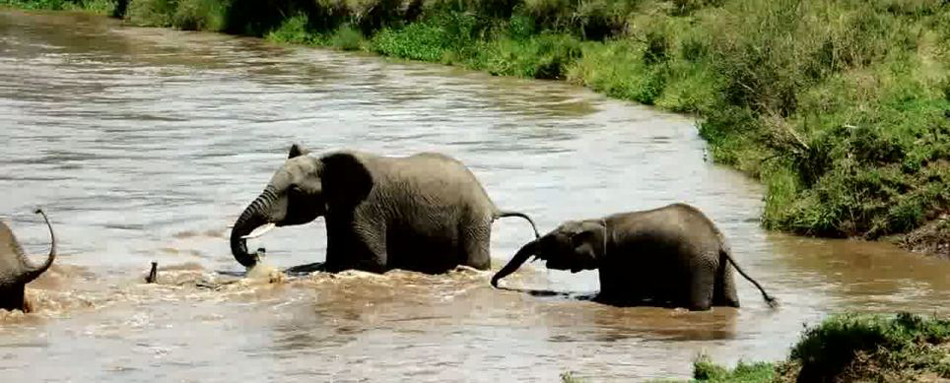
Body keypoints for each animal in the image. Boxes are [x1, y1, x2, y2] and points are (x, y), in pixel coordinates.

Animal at [230, 145, 540, 276]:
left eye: (294, 192)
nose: (258, 254)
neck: (328, 160)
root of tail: (491, 204)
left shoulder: (366, 209)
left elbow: (374, 261)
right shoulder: (341, 211)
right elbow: (334, 258)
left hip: (472, 219)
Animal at [490, 204, 780, 312]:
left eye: (550, 241)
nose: (494, 283)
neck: (597, 221)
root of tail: (719, 242)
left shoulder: (614, 259)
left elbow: (608, 294)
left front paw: (592, 300)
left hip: (699, 263)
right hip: (720, 264)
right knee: (731, 301)